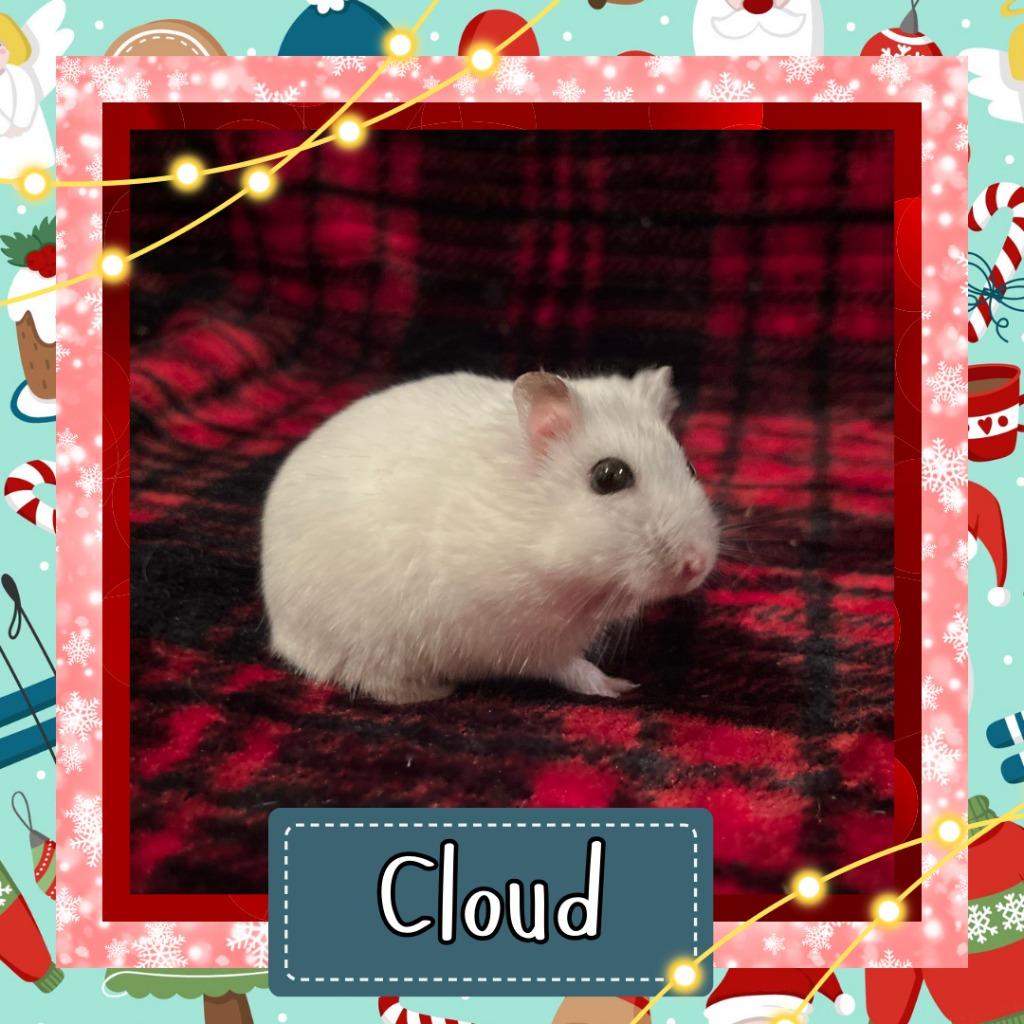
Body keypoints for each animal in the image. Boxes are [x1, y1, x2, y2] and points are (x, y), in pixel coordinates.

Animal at [260, 368, 719, 704]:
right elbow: (571, 669)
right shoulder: (521, 640)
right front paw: (620, 687)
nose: (697, 566)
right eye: (609, 476)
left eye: (691, 467)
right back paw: (434, 692)